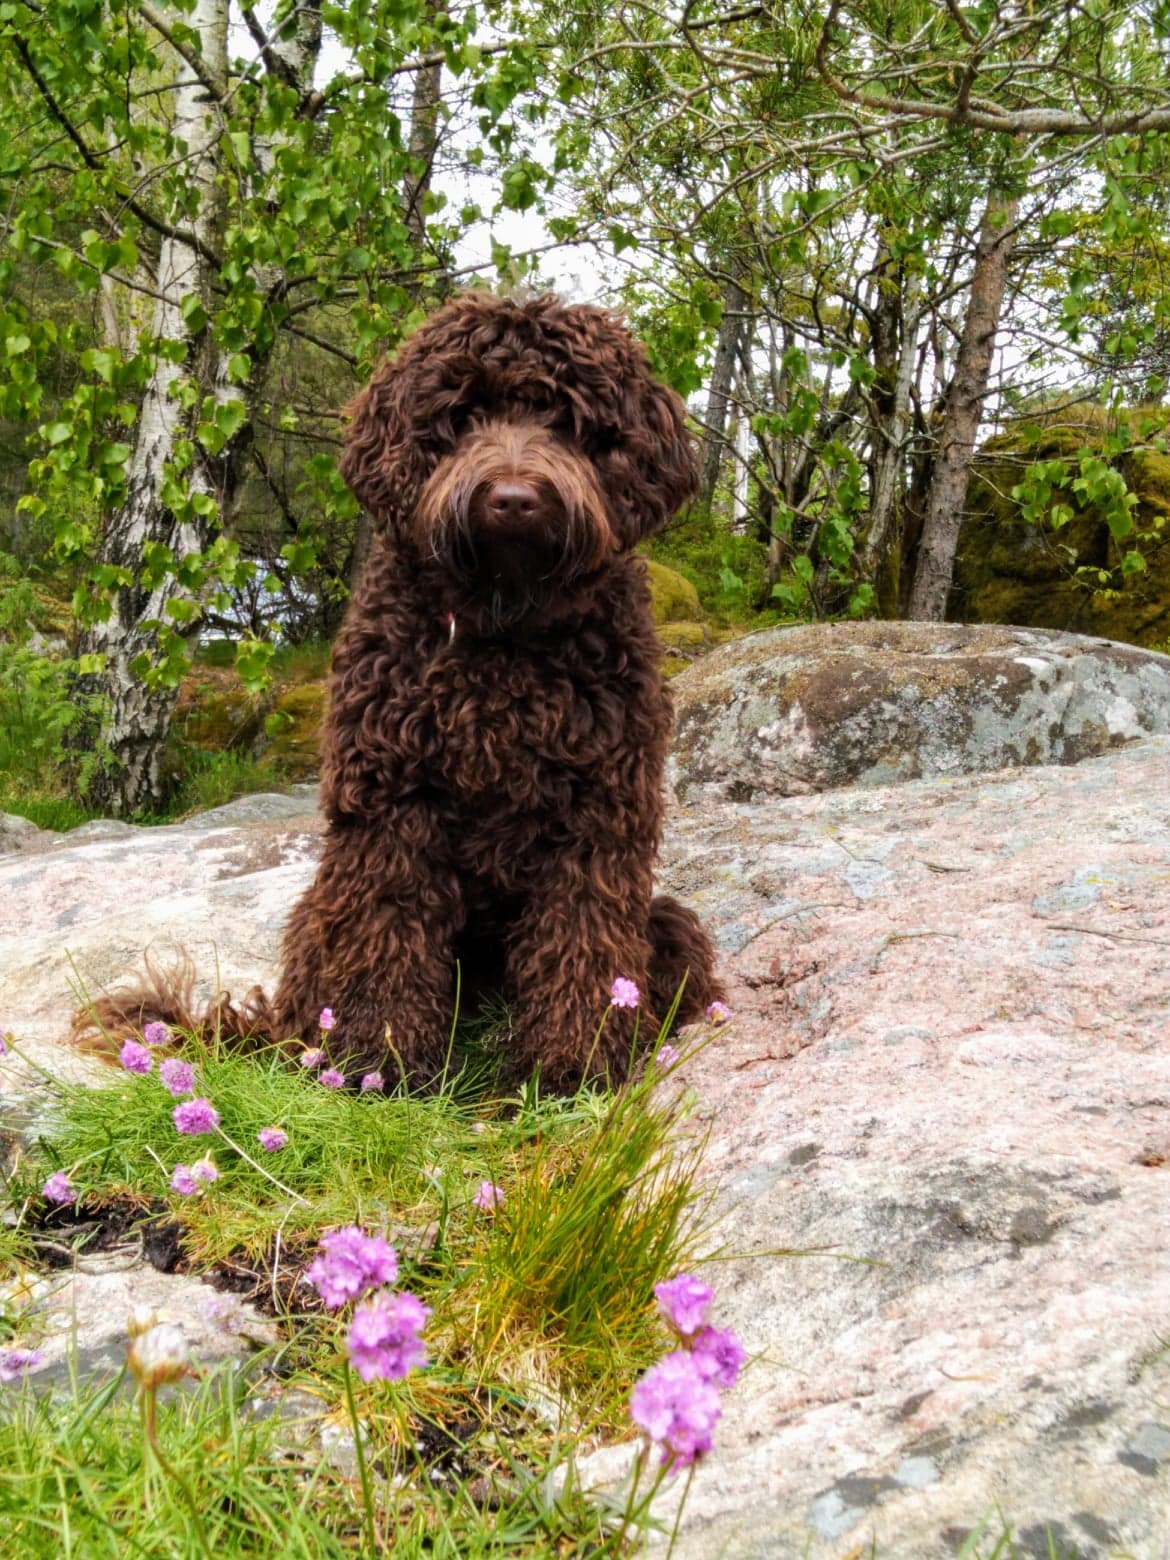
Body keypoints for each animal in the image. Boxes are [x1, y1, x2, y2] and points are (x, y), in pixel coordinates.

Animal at [78, 293, 723, 1085]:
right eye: (463, 415)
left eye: (569, 422)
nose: (514, 500)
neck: (502, 629)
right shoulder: (391, 807)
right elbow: (389, 929)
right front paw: (377, 1067)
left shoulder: (599, 811)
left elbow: (582, 936)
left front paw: (569, 1068)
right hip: (319, 912)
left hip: (667, 922)